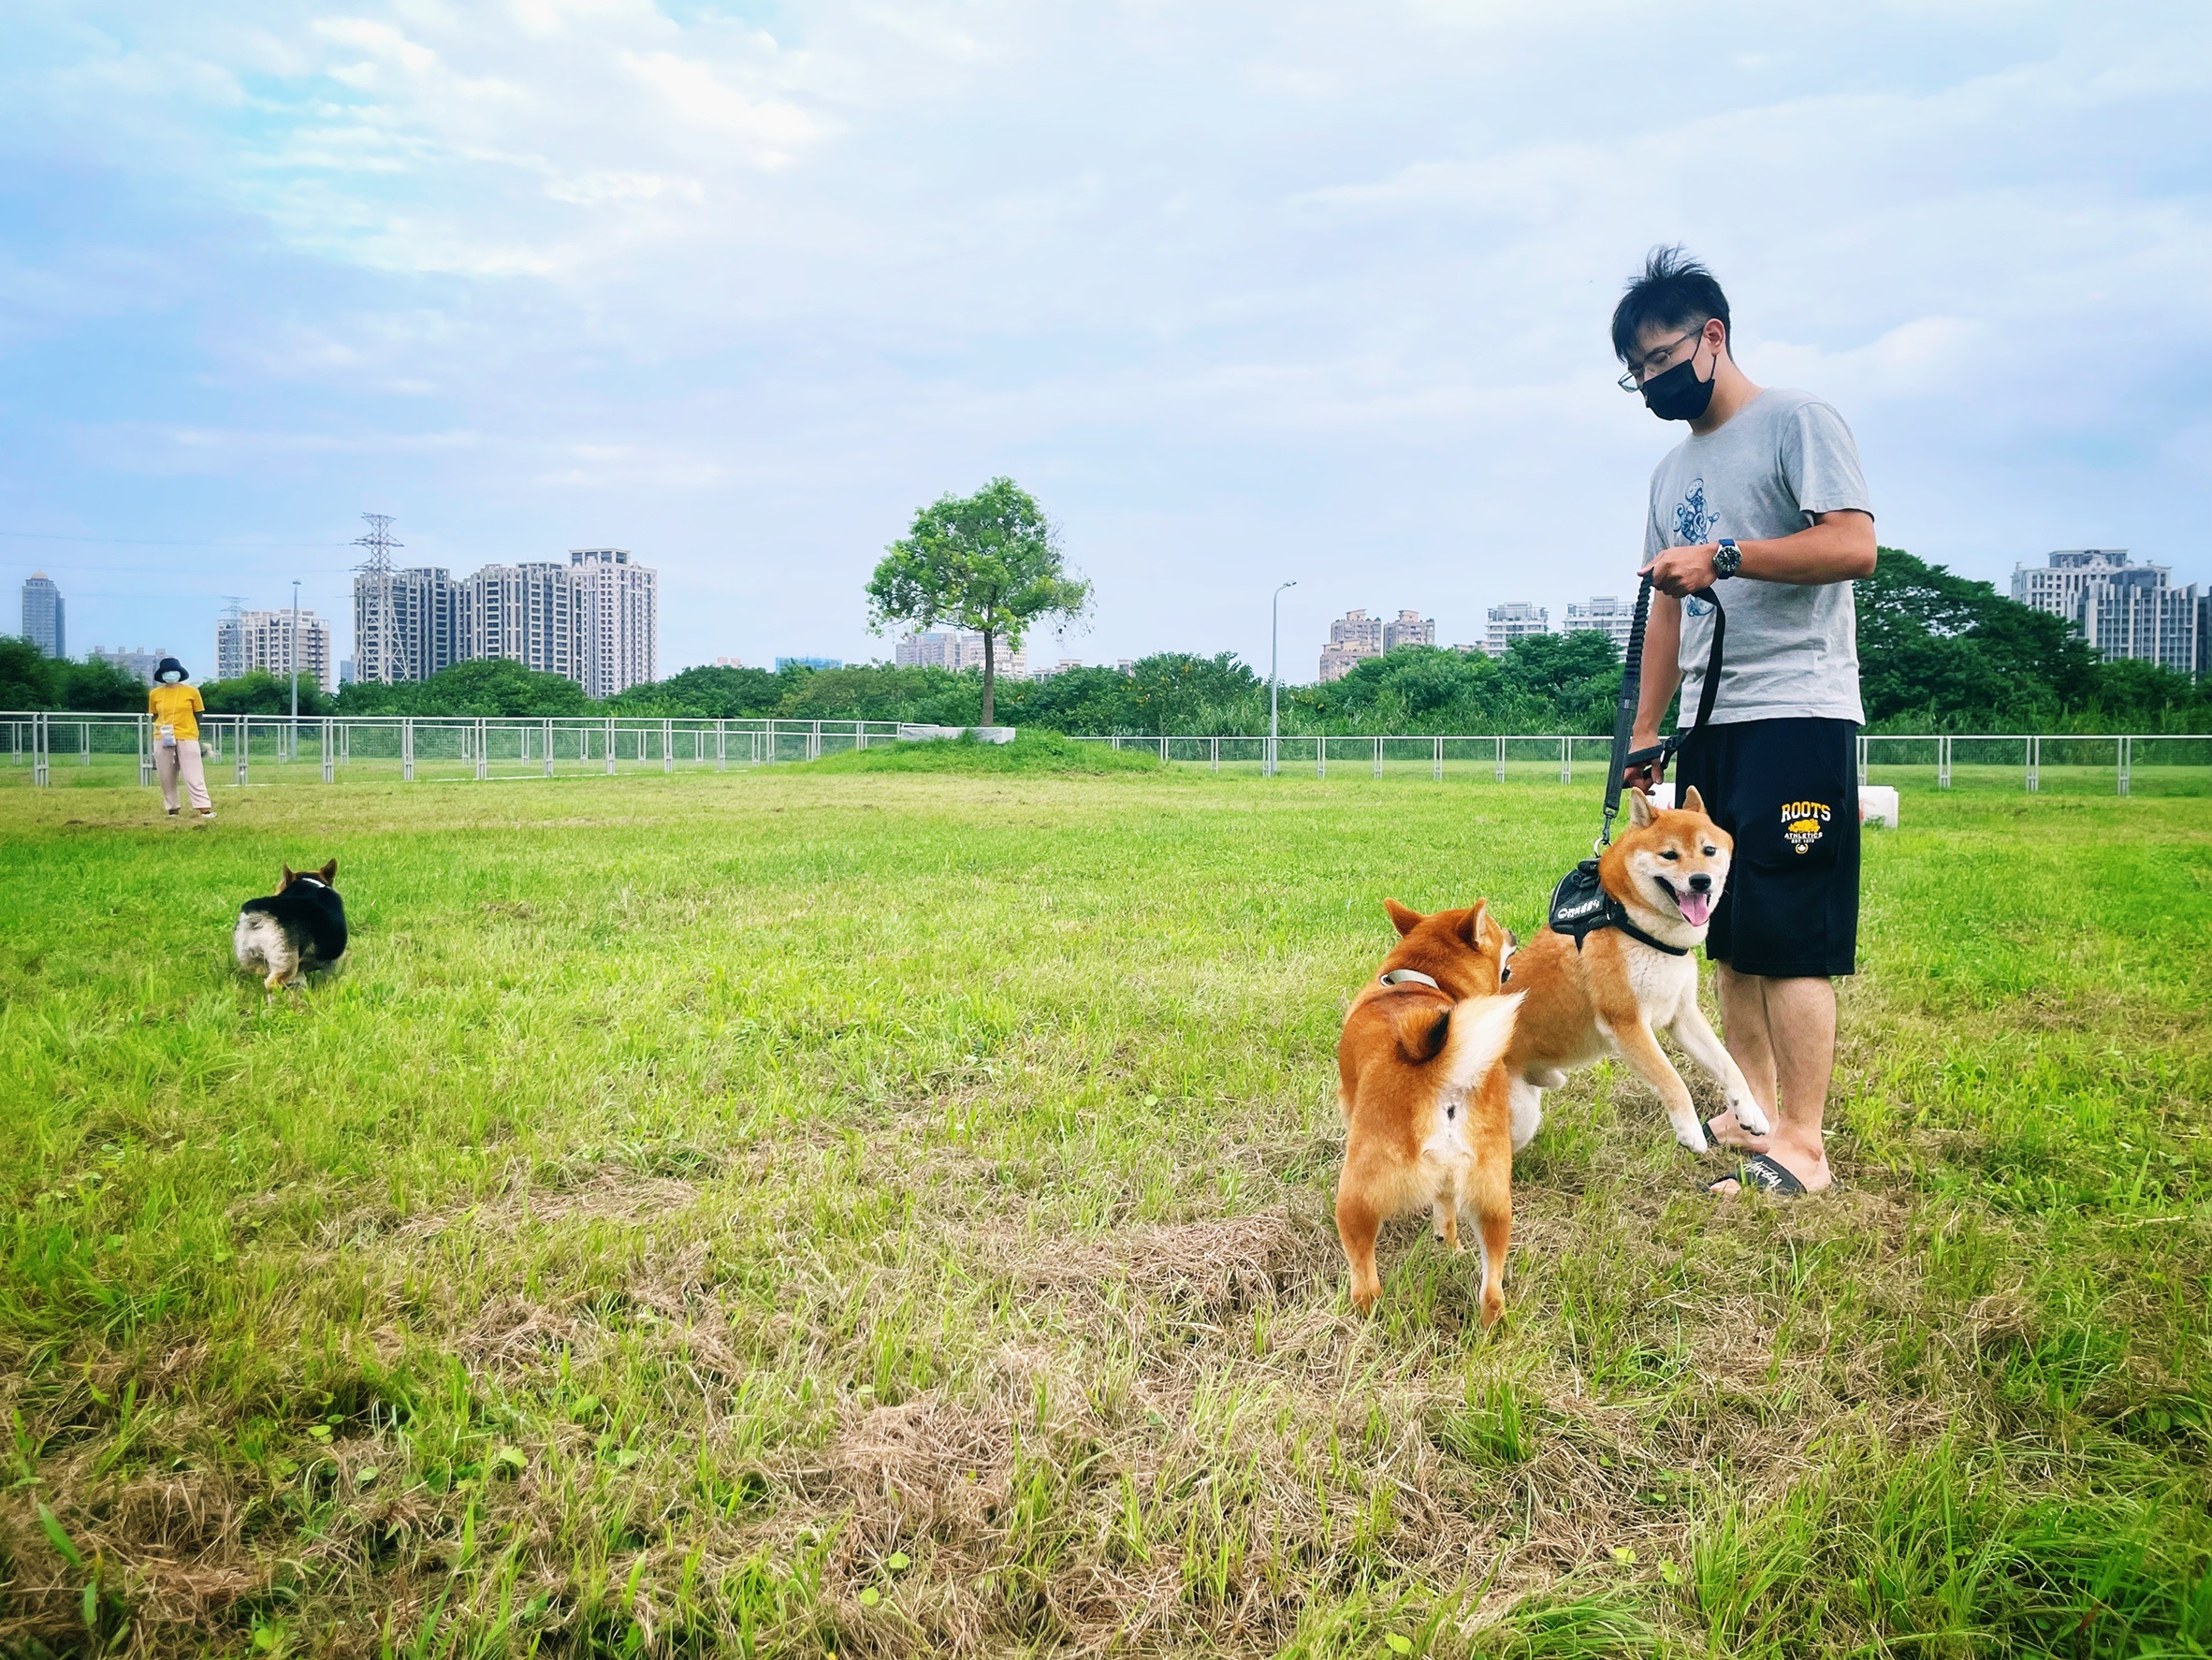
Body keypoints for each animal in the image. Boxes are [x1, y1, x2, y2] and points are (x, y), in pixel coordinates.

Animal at [234, 863, 349, 996]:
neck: (311, 883)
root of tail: (262, 914)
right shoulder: (334, 961)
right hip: (286, 961)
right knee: (272, 983)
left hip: (247, 954)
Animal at [1335, 903, 1530, 1336]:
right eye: (1497, 932)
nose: (1513, 932)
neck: (1416, 980)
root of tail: (1444, 1074)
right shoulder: (1449, 1181)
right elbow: (1446, 1214)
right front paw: (1449, 1245)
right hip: (1494, 1202)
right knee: (1492, 1292)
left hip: (1354, 1201)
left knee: (1366, 1285)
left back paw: (1359, 1321)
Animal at [1504, 788, 1760, 1159]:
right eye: (1670, 855)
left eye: (1709, 850)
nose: (1701, 881)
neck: (1629, 919)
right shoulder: (1627, 1023)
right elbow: (1672, 1080)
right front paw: (1689, 1130)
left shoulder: (1681, 1015)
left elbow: (1730, 1065)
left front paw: (1751, 1111)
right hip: (1518, 1114)